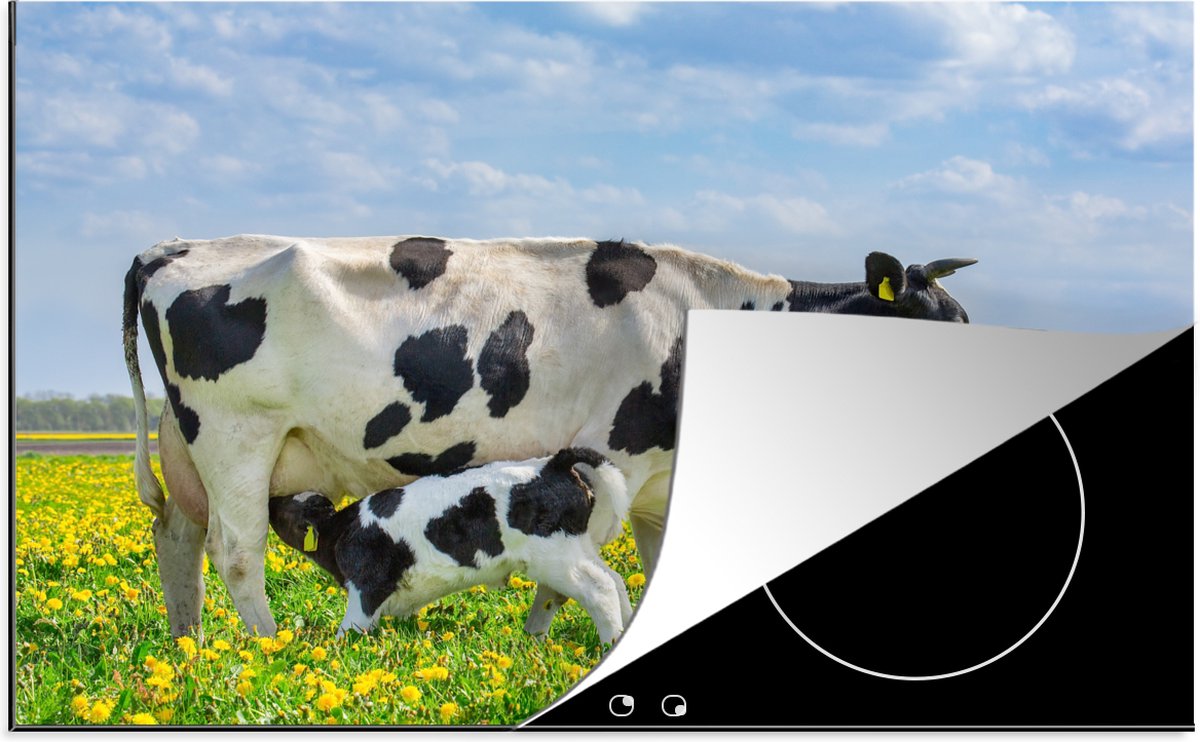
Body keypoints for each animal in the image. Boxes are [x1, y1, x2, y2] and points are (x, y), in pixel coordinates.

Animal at [267, 448, 632, 643]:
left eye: (289, 509)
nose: (270, 499)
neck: (344, 529)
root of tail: (552, 463)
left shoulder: (367, 584)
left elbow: (351, 629)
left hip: (556, 555)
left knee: (599, 588)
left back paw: (610, 641)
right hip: (578, 545)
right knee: (615, 580)